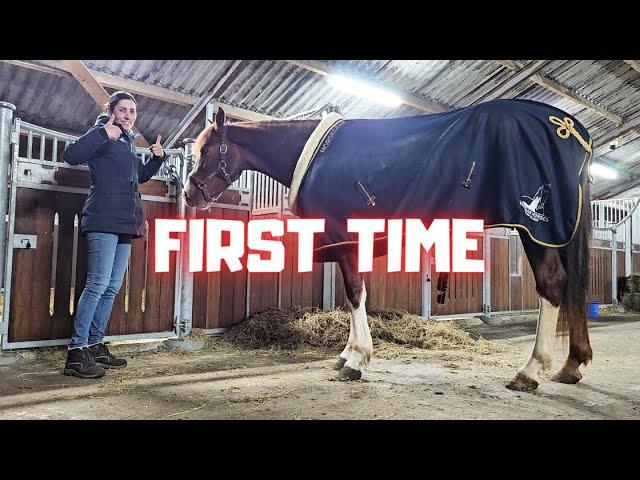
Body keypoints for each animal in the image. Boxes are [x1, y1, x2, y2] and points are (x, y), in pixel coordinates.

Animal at [182, 99, 592, 392]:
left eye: (205, 151)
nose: (189, 195)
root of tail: (573, 131)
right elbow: (352, 297)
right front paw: (347, 354)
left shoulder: (346, 238)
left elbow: (354, 294)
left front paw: (356, 360)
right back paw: (571, 365)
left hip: (536, 230)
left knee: (553, 284)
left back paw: (530, 371)